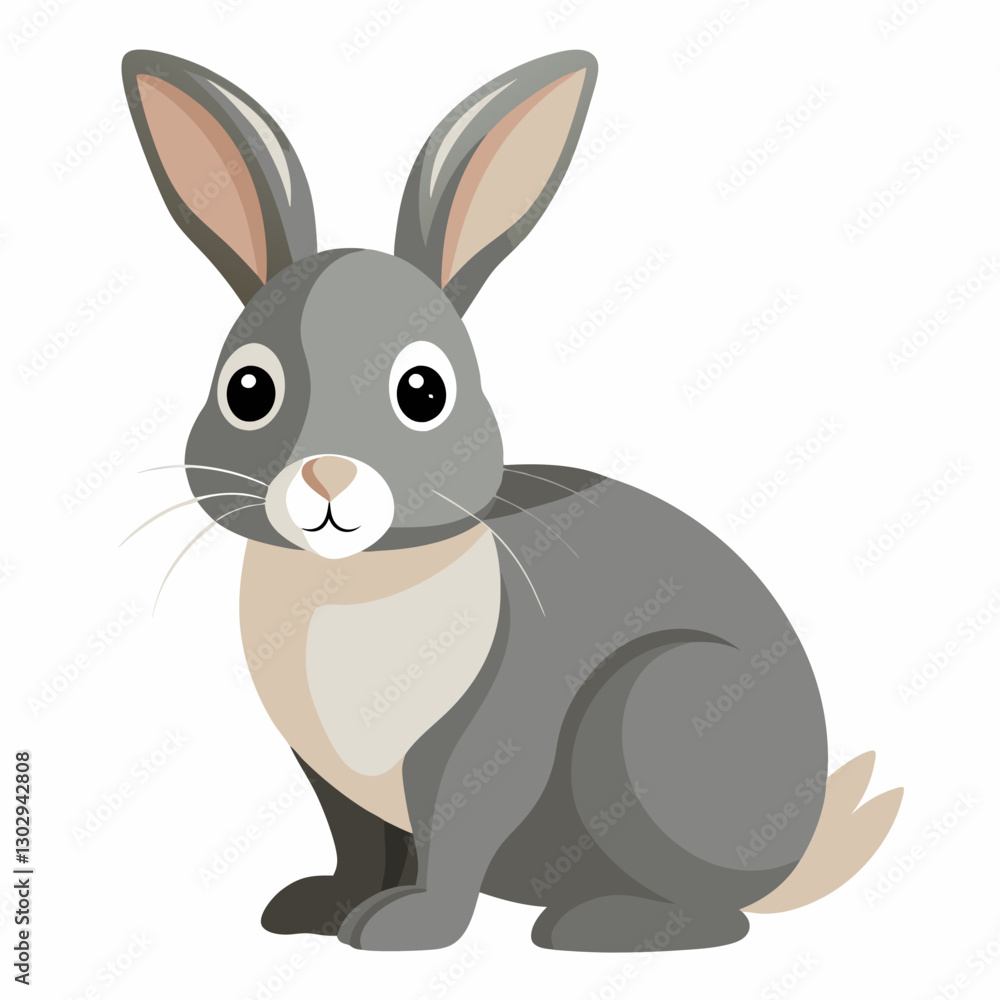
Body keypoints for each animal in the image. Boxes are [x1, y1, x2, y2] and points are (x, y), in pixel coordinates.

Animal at [121, 48, 902, 952]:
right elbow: (358, 846)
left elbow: (456, 838)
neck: (351, 581)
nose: (327, 478)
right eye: (248, 390)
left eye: (423, 392)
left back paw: (596, 926)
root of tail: (800, 853)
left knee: (718, 915)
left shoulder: (484, 748)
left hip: (649, 717)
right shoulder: (331, 780)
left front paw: (403, 929)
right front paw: (320, 911)